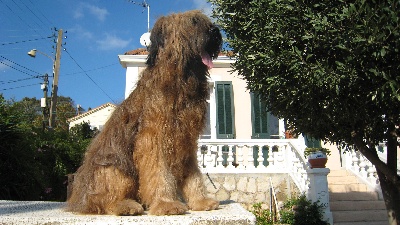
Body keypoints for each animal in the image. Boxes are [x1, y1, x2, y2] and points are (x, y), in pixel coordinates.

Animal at [65, 10, 222, 216]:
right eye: (193, 22)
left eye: (205, 21)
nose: (215, 31)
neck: (179, 82)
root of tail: (79, 199)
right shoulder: (153, 140)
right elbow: (158, 173)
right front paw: (166, 204)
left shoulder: (186, 143)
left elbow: (193, 174)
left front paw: (201, 201)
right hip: (115, 170)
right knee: (103, 200)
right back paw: (126, 206)